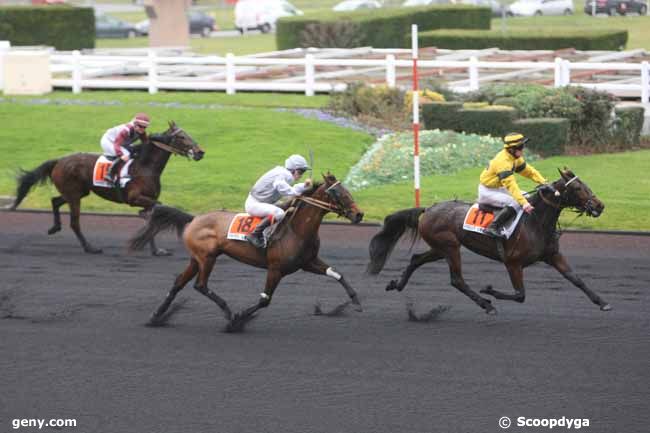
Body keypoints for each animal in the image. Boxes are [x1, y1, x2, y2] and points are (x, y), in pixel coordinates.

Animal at [10, 121, 202, 255]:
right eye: (181, 137)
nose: (200, 152)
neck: (145, 167)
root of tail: (59, 161)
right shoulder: (134, 198)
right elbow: (159, 210)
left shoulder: (148, 199)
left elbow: (153, 217)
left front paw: (156, 250)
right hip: (74, 195)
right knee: (74, 222)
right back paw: (90, 248)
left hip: (78, 192)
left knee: (55, 201)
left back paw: (55, 227)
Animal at [128, 172, 364, 330]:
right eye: (339, 193)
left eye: (348, 190)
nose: (359, 214)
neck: (296, 230)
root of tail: (194, 218)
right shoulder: (276, 268)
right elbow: (264, 300)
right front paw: (240, 318)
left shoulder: (308, 262)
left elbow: (336, 273)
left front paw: (356, 301)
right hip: (207, 257)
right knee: (200, 285)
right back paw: (229, 314)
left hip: (197, 258)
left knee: (179, 283)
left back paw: (156, 316)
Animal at [368, 170, 612, 318]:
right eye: (578, 188)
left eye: (585, 184)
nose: (599, 205)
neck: (535, 221)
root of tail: (428, 209)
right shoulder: (513, 263)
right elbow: (520, 295)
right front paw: (489, 290)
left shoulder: (552, 255)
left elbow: (576, 279)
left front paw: (602, 302)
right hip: (450, 247)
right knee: (457, 280)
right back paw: (486, 304)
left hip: (440, 248)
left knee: (416, 259)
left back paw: (397, 284)